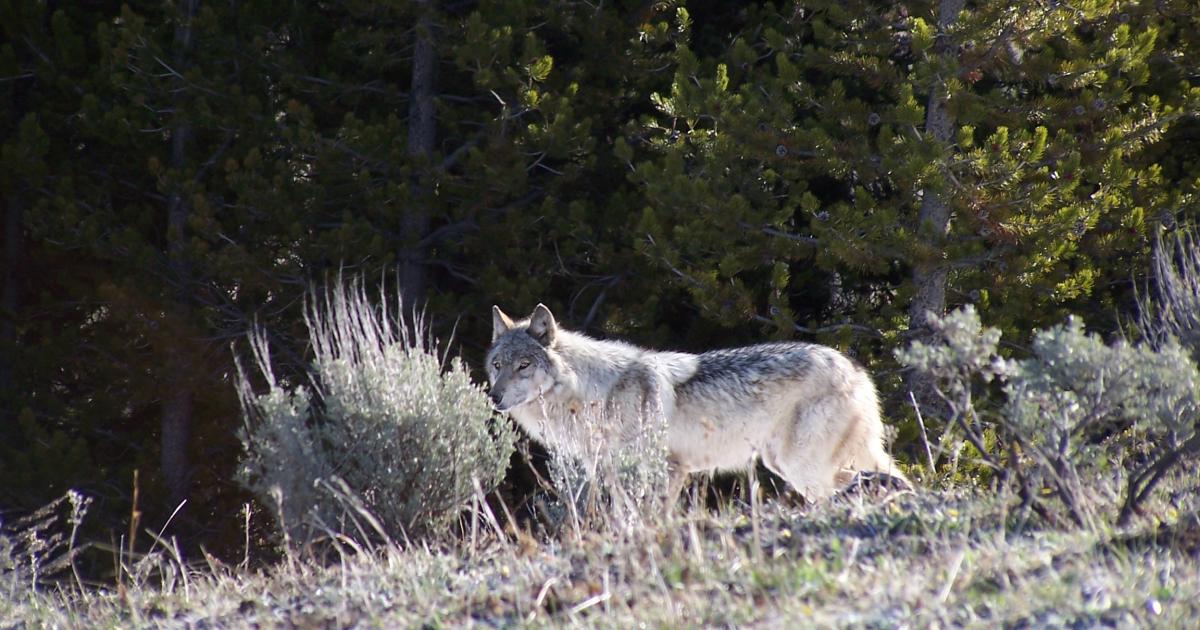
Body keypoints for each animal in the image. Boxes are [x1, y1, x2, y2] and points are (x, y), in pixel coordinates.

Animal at [482, 302, 902, 504]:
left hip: (802, 467)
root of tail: (854, 368)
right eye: (498, 365)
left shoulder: (666, 471)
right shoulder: (618, 476)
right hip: (789, 465)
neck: (594, 395)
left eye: (524, 365)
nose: (495, 396)